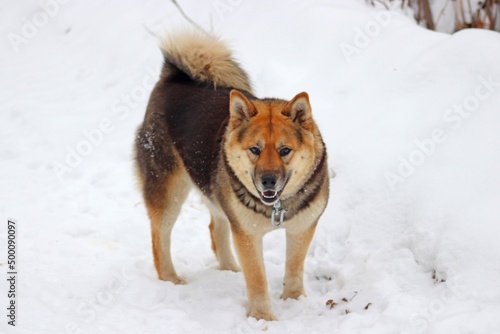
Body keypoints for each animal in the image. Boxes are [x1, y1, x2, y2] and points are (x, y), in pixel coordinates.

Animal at [134, 32, 328, 320]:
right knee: (160, 239)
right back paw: (171, 279)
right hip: (169, 192)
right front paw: (262, 317)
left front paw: (294, 300)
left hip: (215, 192)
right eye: (255, 150)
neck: (276, 208)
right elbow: (257, 279)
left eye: (284, 150)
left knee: (216, 229)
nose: (268, 181)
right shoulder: (246, 235)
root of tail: (173, 77)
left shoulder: (302, 228)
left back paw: (230, 269)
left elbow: (294, 268)